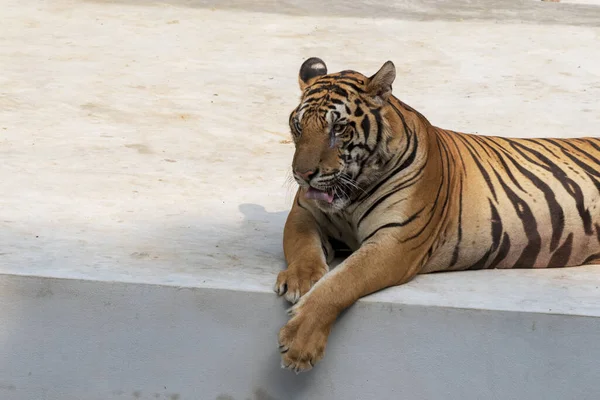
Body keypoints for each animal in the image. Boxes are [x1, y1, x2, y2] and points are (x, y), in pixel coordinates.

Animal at [276, 56, 600, 372]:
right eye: (299, 126)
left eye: (339, 128)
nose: (302, 175)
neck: (352, 194)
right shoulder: (304, 213)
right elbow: (302, 245)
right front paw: (299, 279)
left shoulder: (394, 243)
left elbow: (342, 282)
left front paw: (299, 343)